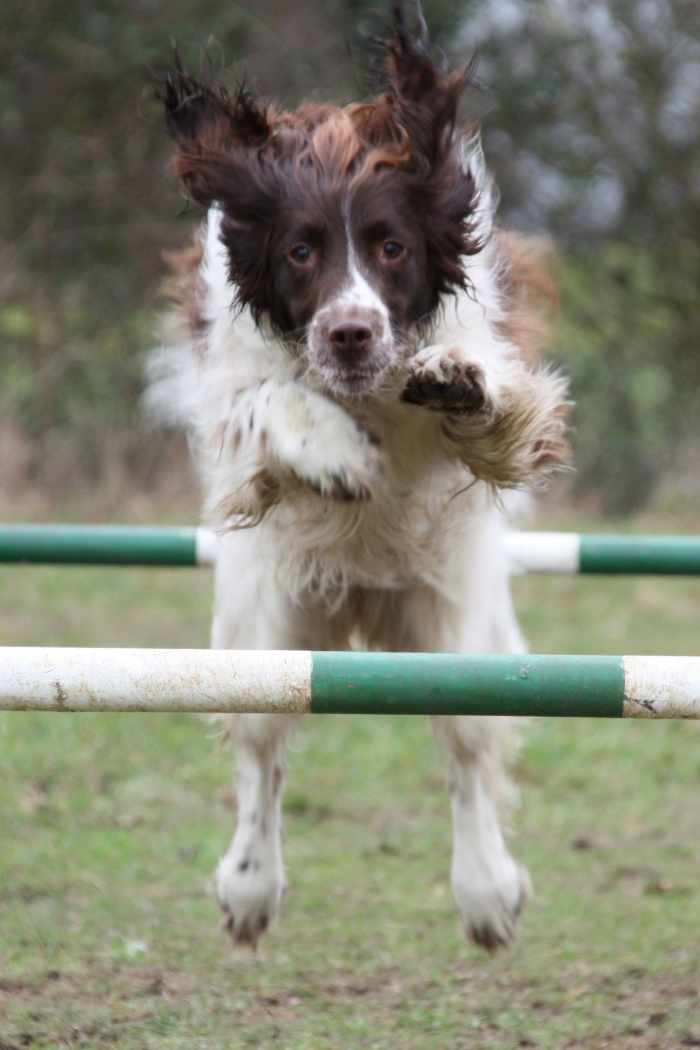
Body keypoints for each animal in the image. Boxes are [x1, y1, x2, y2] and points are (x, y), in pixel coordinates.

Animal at [149, 2, 570, 953]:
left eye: (391, 247)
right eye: (301, 253)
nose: (349, 332)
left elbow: (499, 410)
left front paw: (456, 382)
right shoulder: (237, 413)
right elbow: (271, 404)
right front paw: (333, 452)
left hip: (456, 620)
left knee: (466, 737)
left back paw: (486, 889)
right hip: (264, 625)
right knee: (262, 742)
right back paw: (249, 887)